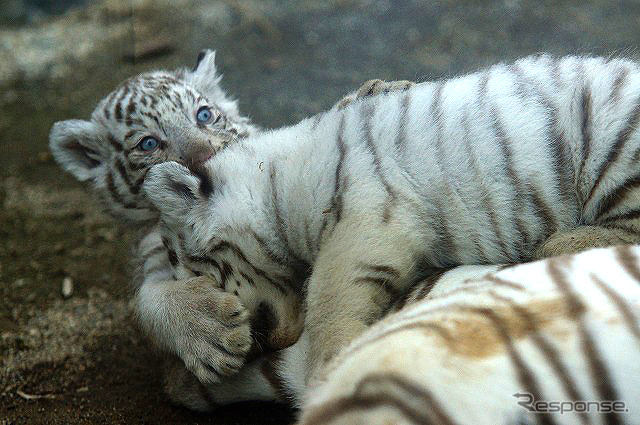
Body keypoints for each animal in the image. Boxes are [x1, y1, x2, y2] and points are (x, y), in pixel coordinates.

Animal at [144, 53, 640, 388]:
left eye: (199, 271)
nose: (266, 344)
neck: (277, 188)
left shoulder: (367, 216)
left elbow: (328, 300)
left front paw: (325, 374)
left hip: (613, 148)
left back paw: (553, 244)